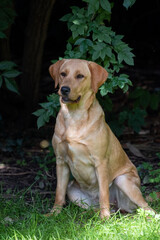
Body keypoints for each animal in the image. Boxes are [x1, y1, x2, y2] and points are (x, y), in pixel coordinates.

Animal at [48, 59, 152, 218]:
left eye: (80, 76)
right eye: (63, 74)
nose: (64, 89)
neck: (75, 116)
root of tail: (118, 206)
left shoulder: (101, 162)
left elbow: (104, 193)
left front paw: (105, 218)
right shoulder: (61, 161)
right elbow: (58, 192)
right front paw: (54, 213)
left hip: (123, 180)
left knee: (147, 208)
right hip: (72, 189)